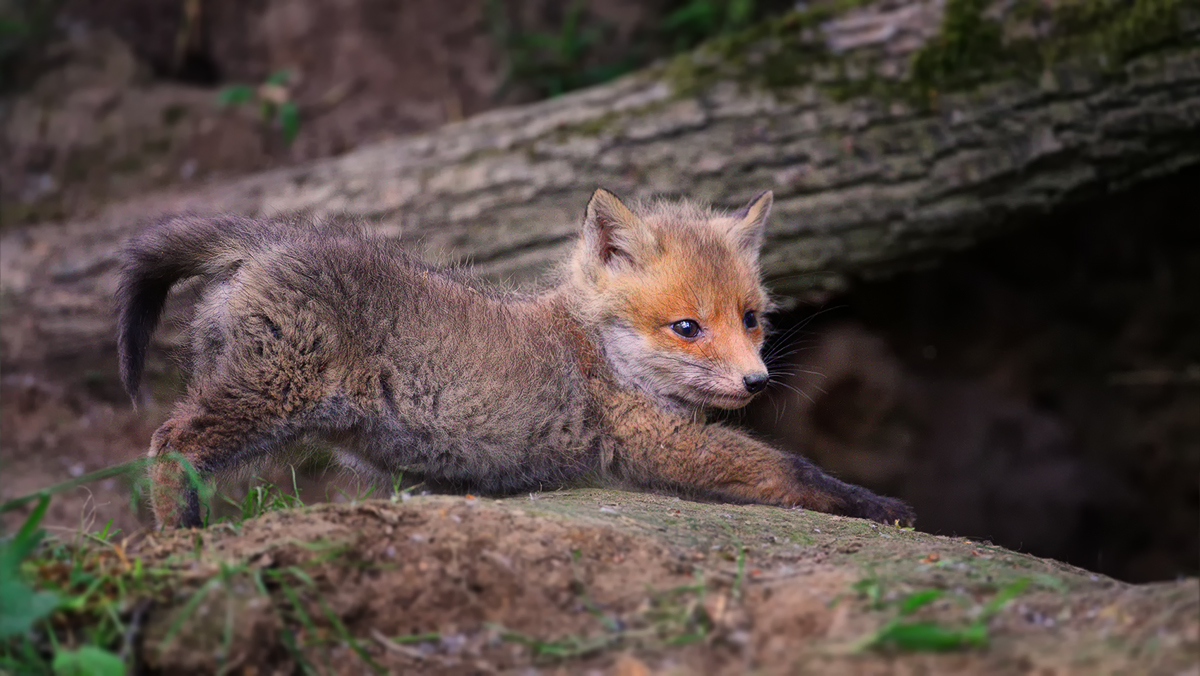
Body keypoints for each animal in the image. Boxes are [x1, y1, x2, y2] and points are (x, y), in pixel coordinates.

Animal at [119, 189, 907, 528]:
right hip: (268, 398)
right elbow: (789, 468)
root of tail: (273, 237)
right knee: (168, 441)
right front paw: (876, 504)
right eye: (687, 327)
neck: (595, 349)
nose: (756, 379)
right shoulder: (652, 440)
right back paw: (181, 537)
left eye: (752, 321)